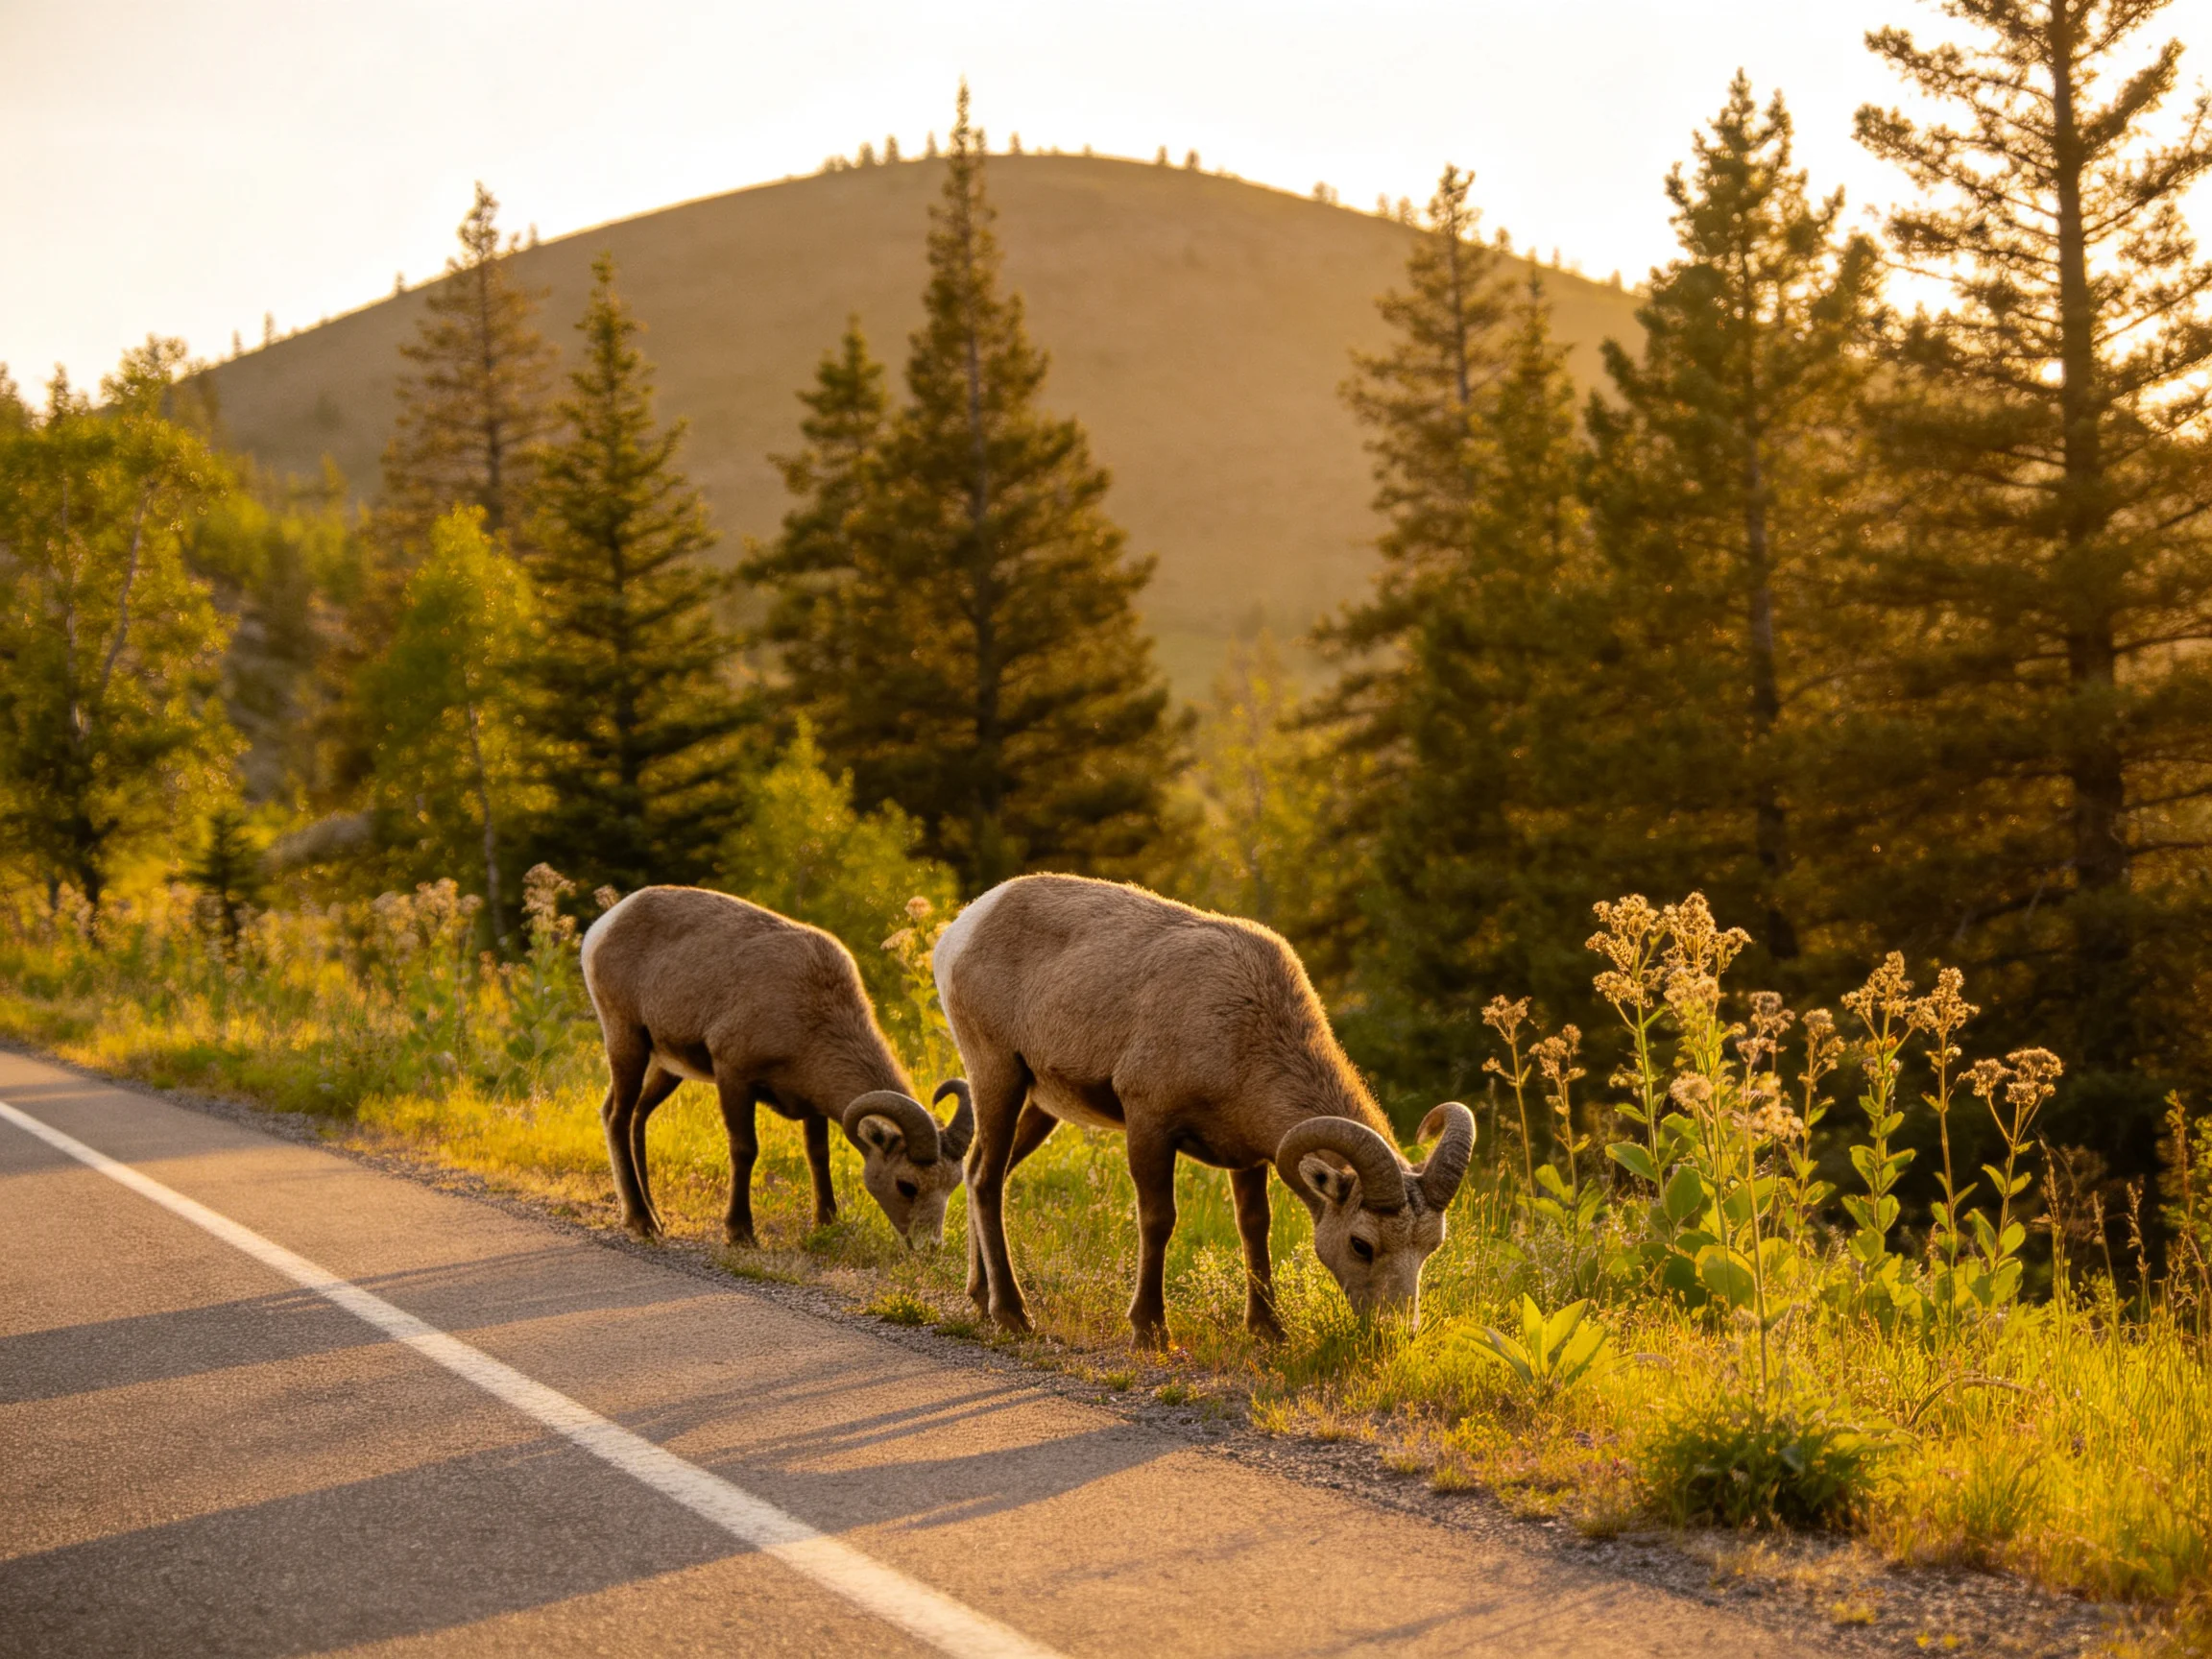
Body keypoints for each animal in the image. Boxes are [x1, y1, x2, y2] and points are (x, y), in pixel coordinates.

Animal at [579, 886, 971, 1248]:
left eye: (951, 1185)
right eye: (906, 1185)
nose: (929, 1247)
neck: (809, 1011)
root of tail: (605, 925)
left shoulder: (812, 1104)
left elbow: (818, 1155)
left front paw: (826, 1223)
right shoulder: (733, 1076)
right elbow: (745, 1150)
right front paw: (740, 1233)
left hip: (665, 1066)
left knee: (638, 1117)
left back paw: (654, 1217)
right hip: (627, 1041)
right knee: (617, 1116)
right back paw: (642, 1222)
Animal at [932, 873, 1473, 1346]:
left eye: (1430, 1247)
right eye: (1362, 1244)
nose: (1396, 1333)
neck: (1242, 1029)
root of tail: (964, 926)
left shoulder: (1247, 1158)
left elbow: (1254, 1227)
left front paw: (1269, 1330)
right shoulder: (1150, 1124)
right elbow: (1159, 1220)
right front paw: (1150, 1331)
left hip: (1040, 1105)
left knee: (987, 1172)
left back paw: (981, 1298)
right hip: (998, 1075)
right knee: (985, 1180)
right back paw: (1012, 1315)